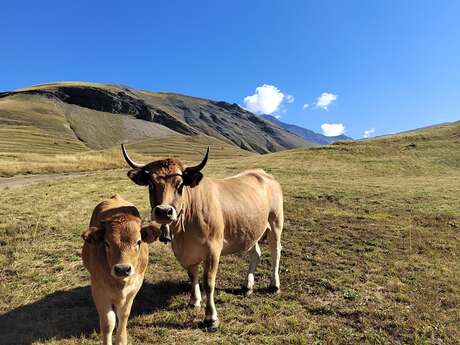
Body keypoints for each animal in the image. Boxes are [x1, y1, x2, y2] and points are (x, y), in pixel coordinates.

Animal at [82, 194, 160, 344]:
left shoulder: (134, 289)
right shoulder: (98, 289)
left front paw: (121, 339)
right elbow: (108, 322)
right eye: (106, 243)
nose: (123, 269)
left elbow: (123, 315)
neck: (120, 284)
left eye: (138, 242)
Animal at [120, 144, 282, 328]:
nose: (163, 211)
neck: (184, 230)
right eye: (151, 185)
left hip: (276, 221)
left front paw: (211, 317)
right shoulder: (184, 251)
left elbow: (208, 282)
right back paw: (247, 286)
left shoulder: (213, 249)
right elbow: (192, 275)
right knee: (256, 253)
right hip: (250, 230)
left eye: (180, 185)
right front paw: (194, 301)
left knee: (276, 252)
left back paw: (274, 285)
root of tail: (261, 172)